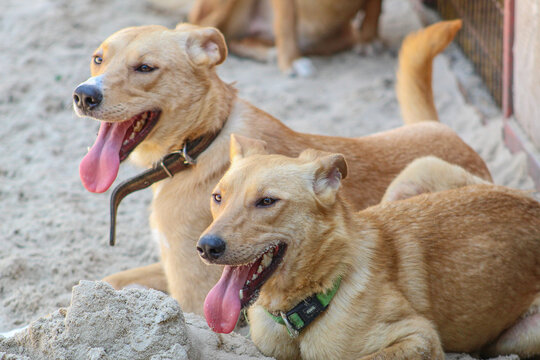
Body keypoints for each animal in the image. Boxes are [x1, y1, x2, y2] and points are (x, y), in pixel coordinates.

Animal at [73, 19, 494, 314]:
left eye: (145, 68)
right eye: (98, 58)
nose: (84, 94)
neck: (202, 141)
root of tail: (450, 132)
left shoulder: (193, 295)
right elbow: (105, 282)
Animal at [190, 0, 384, 75]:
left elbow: (375, 8)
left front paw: (369, 39)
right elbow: (286, 22)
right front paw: (291, 61)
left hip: (344, 33)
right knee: (205, 28)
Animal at [199, 135, 540, 360]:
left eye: (267, 201)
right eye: (217, 197)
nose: (206, 247)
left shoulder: (420, 337)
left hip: (523, 337)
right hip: (417, 171)